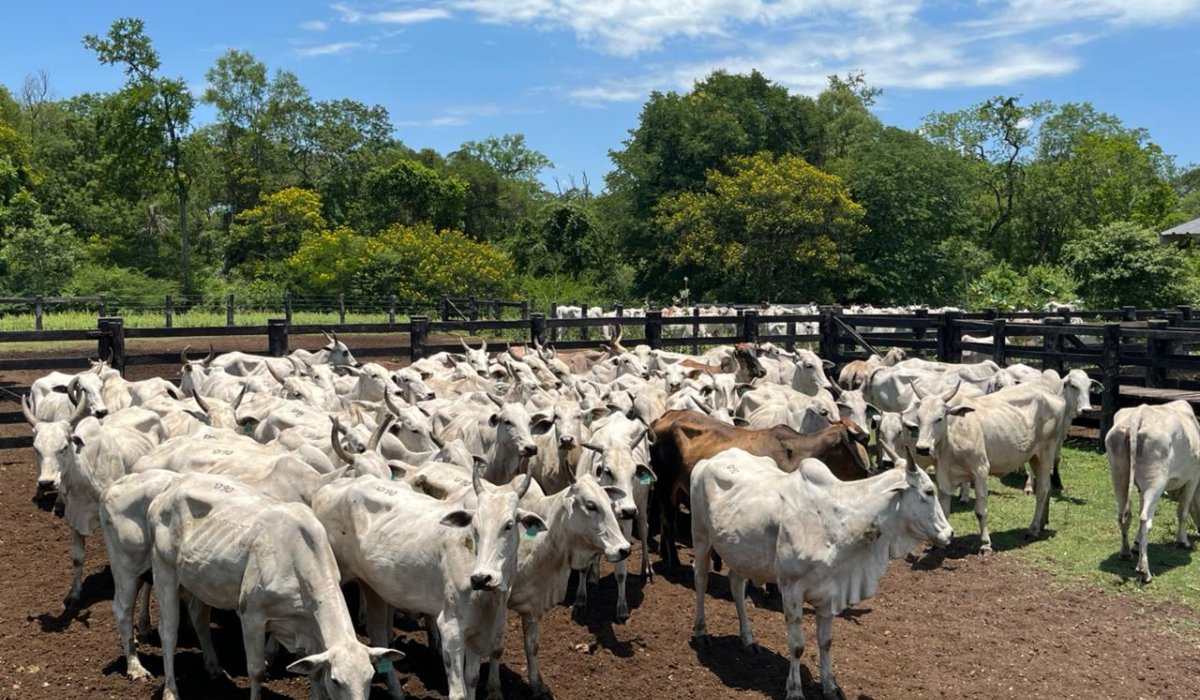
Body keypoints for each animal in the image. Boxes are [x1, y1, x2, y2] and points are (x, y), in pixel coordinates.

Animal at [149, 473, 402, 700]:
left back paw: (213, 668)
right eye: (337, 681)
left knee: (199, 618)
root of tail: (173, 485)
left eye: (371, 677)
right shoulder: (251, 616)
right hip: (164, 570)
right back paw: (171, 692)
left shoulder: (307, 626)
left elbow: (314, 674)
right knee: (168, 631)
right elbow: (256, 670)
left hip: (202, 580)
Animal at [690, 446, 952, 700]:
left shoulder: (831, 592)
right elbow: (797, 645)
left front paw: (830, 687)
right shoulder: (791, 589)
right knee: (701, 579)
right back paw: (701, 633)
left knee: (736, 585)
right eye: (929, 491)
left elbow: (825, 642)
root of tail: (709, 461)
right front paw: (795, 690)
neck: (840, 520)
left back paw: (748, 640)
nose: (949, 533)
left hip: (741, 554)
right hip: (702, 537)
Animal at [1105, 401, 1200, 583]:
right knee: (1145, 520)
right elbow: (1182, 512)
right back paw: (1144, 570)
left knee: (1124, 515)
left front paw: (1136, 545)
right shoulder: (1193, 477)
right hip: (1156, 482)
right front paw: (1183, 541)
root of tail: (1139, 414)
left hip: (1119, 476)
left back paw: (1125, 552)